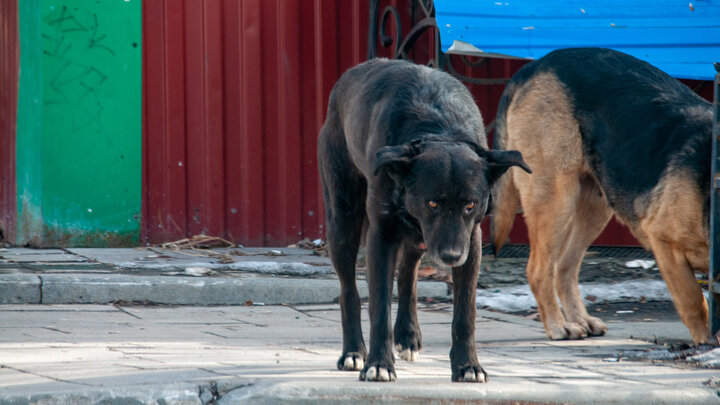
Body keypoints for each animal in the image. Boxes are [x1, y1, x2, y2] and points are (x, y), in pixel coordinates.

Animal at [318, 58, 532, 380]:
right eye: (432, 202)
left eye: (470, 205)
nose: (451, 256)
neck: (440, 129)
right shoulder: (382, 236)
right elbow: (379, 308)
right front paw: (378, 364)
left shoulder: (471, 241)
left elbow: (465, 314)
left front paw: (468, 366)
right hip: (343, 220)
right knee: (349, 291)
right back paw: (354, 352)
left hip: (419, 238)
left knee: (408, 275)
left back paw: (407, 336)